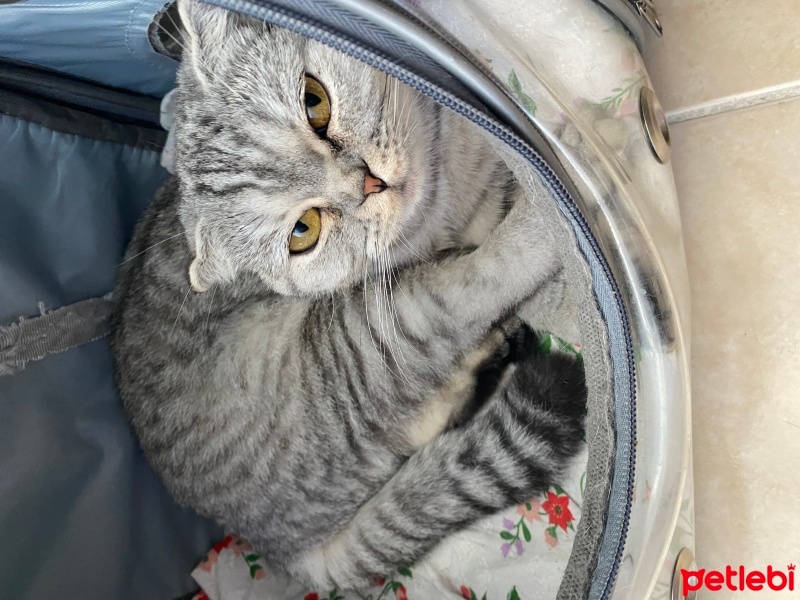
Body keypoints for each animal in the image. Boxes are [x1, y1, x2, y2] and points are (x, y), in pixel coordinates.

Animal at [111, 0, 588, 592]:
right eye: (303, 231)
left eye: (315, 102)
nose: (369, 184)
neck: (451, 176)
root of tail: (285, 552)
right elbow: (503, 270)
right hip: (366, 339)